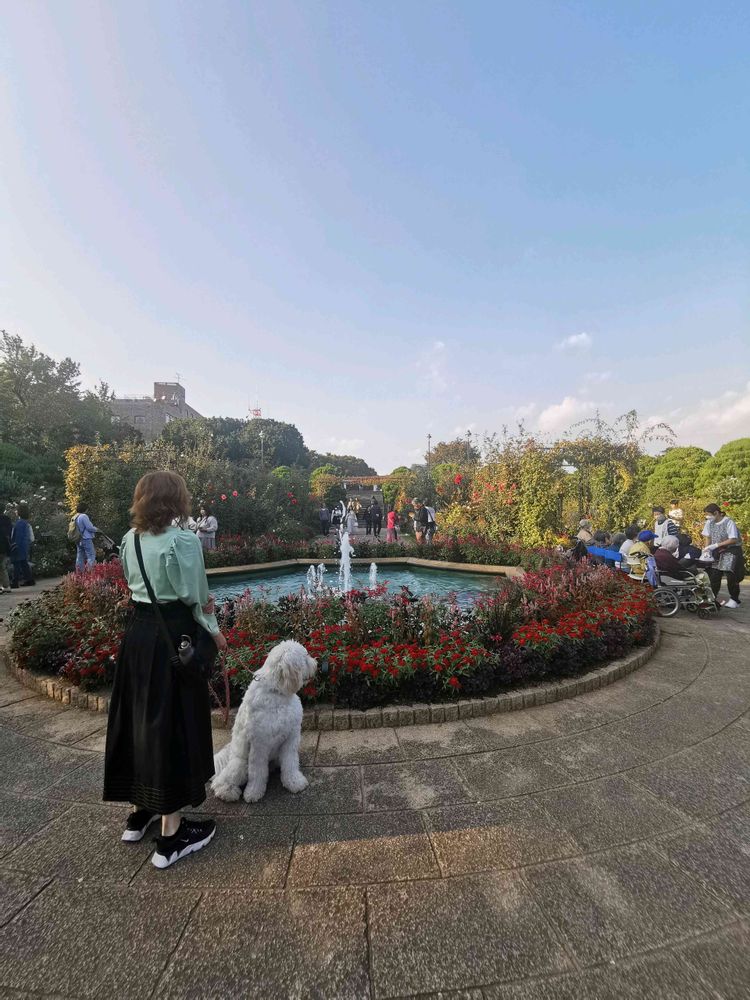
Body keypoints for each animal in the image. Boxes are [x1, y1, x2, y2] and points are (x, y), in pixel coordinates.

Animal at [210, 640, 318, 804]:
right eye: (305, 656)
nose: (316, 664)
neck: (277, 693)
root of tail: (229, 754)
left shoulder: (291, 738)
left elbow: (290, 763)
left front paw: (294, 782)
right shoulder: (259, 744)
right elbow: (257, 771)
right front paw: (253, 792)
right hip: (240, 764)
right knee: (221, 781)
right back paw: (228, 792)